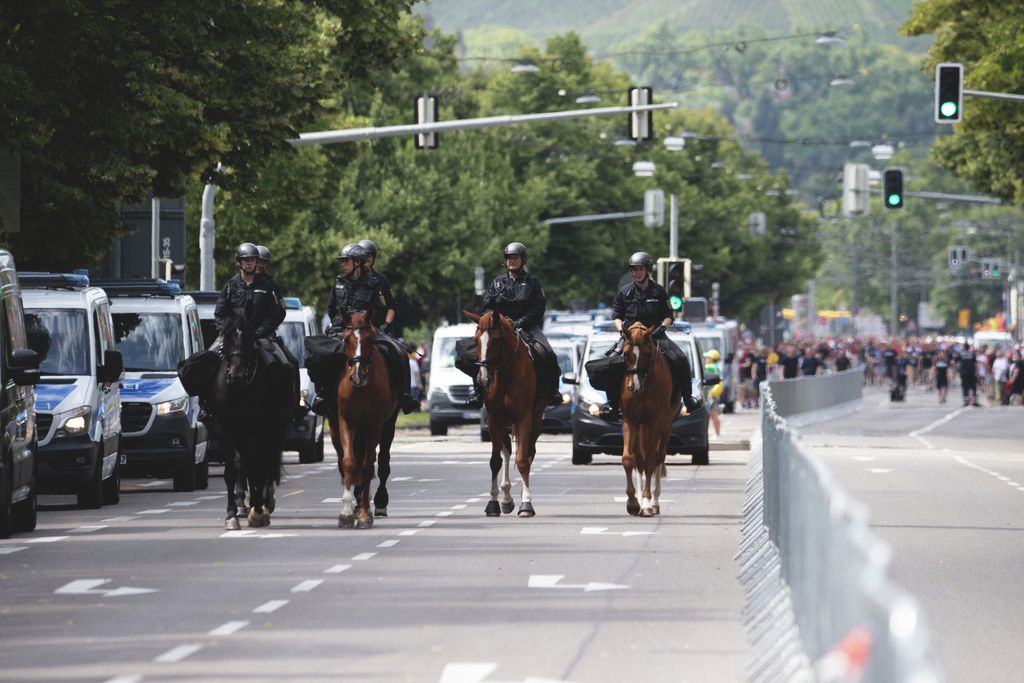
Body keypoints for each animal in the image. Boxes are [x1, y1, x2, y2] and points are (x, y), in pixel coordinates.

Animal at [327, 313, 395, 532]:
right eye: (346, 339)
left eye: (370, 340)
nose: (357, 376)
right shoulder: (345, 421)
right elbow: (349, 462)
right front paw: (346, 513)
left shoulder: (374, 423)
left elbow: (367, 464)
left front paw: (365, 514)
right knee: (346, 460)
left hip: (386, 426)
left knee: (380, 462)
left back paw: (377, 503)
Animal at [464, 311, 544, 518]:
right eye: (475, 340)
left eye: (496, 339)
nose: (483, 379)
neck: (507, 375)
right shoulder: (494, 421)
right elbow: (495, 461)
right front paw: (493, 503)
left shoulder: (524, 419)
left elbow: (522, 460)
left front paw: (526, 504)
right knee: (506, 451)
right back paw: (506, 499)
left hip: (535, 420)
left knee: (528, 452)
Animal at [614, 323, 679, 516]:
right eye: (625, 353)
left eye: (647, 352)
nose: (633, 387)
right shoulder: (630, 421)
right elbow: (629, 459)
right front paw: (633, 502)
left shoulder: (656, 422)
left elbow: (651, 461)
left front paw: (648, 502)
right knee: (640, 461)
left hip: (665, 426)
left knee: (659, 457)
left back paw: (654, 501)